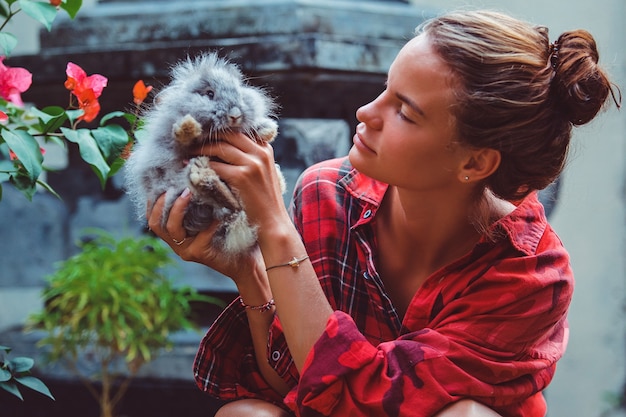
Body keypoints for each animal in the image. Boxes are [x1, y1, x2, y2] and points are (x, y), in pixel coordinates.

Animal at [123, 50, 282, 255]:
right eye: (209, 94)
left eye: (239, 92)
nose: (235, 114)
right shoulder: (169, 141)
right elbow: (180, 137)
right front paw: (188, 127)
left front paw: (268, 130)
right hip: (178, 190)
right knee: (227, 203)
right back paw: (203, 176)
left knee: (234, 205)